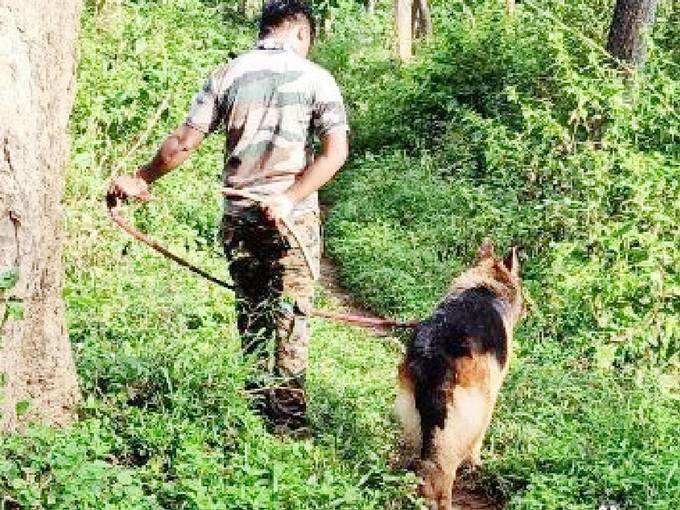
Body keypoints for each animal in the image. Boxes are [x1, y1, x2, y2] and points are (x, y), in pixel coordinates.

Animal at [394, 240, 524, 510]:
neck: (486, 285)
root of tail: (432, 355)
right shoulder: (490, 397)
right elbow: (480, 438)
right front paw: (476, 464)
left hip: (417, 421)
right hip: (455, 423)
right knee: (441, 474)